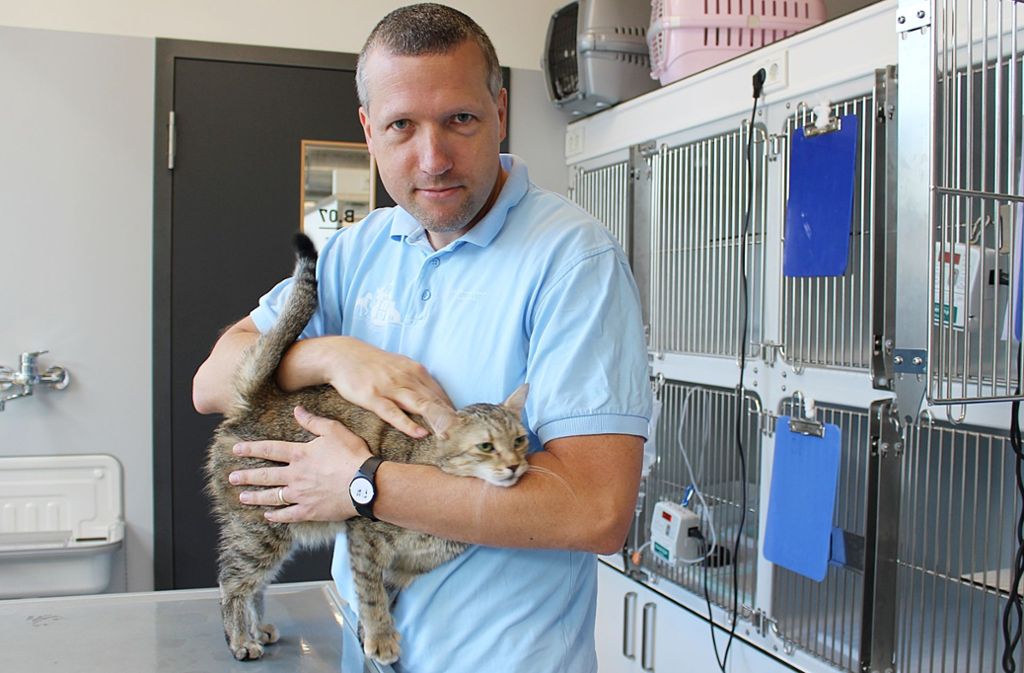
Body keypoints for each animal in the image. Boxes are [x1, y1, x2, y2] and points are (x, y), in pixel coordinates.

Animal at [204, 233, 532, 663]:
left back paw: (258, 630)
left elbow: (385, 595)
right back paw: (241, 638)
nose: (514, 466)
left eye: (520, 441)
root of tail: (258, 400)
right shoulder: (365, 542)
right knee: (232, 582)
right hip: (258, 530)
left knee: (254, 584)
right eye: (486, 446)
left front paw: (369, 634)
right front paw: (379, 636)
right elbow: (371, 594)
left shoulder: (405, 569)